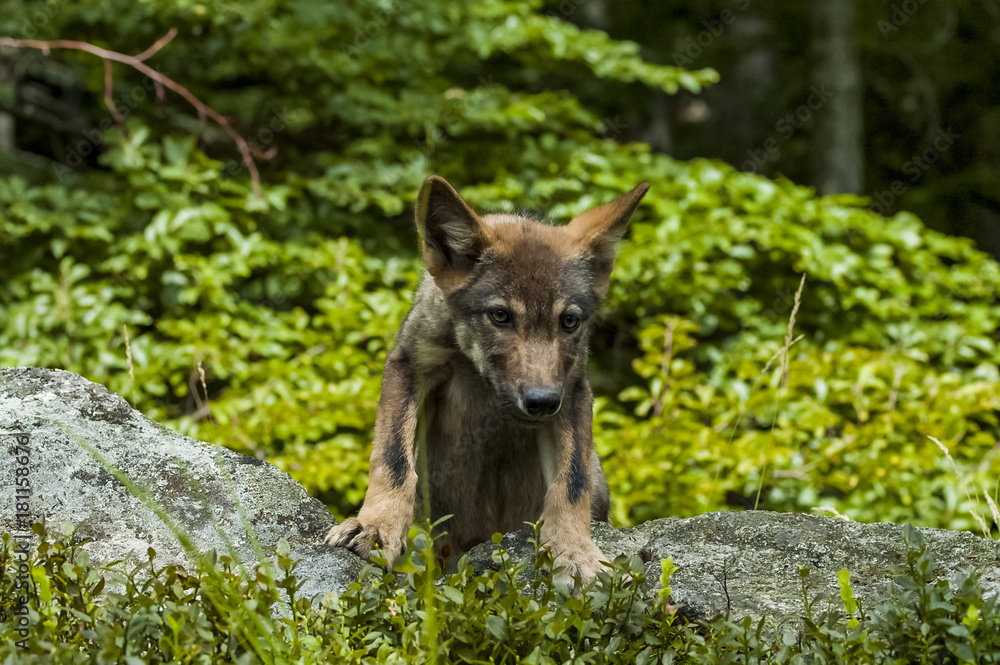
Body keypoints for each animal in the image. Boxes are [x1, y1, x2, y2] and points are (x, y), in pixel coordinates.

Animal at [325, 175, 649, 583]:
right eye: (500, 316)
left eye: (569, 321)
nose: (541, 401)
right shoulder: (410, 367)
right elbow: (394, 461)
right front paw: (375, 528)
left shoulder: (573, 391)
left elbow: (571, 484)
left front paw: (576, 553)